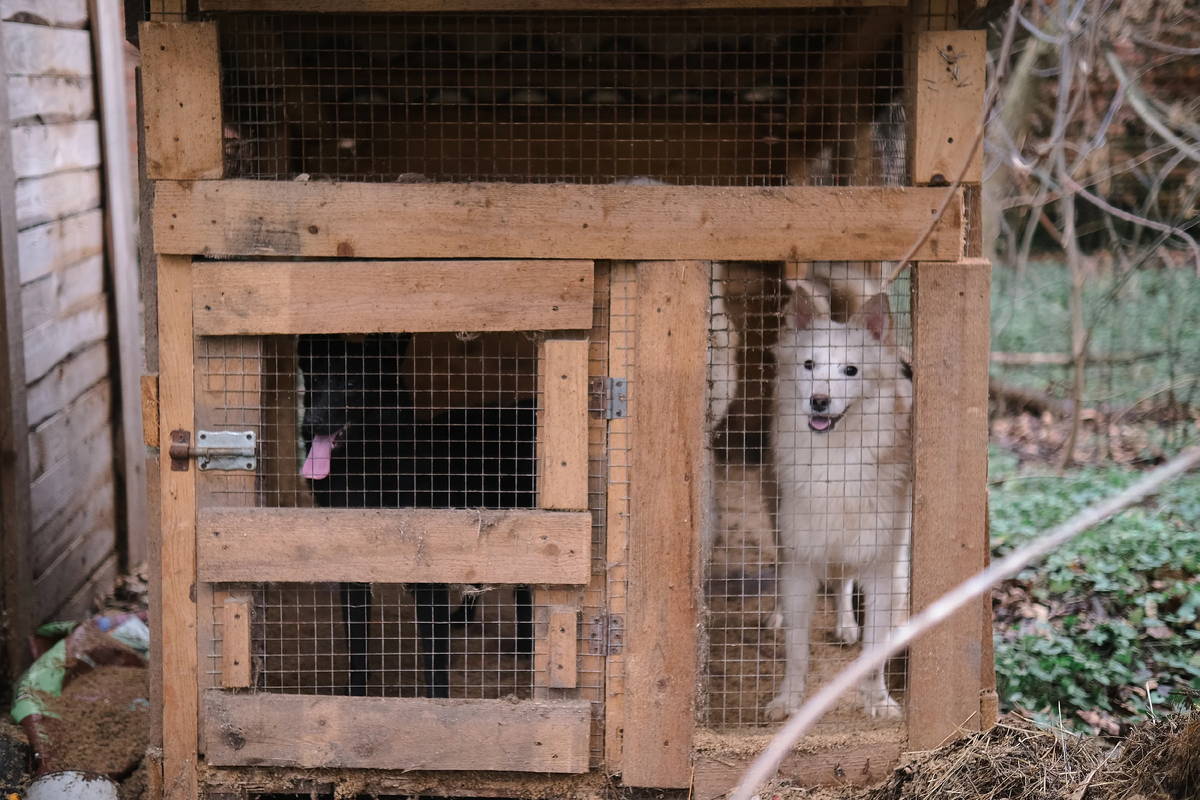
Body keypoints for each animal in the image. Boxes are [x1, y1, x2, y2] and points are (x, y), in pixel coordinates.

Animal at [302, 335, 537, 695]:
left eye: (352, 383)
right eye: (314, 380)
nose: (310, 422)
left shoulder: (429, 582)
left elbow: (434, 662)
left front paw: (435, 702)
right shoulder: (352, 573)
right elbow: (357, 644)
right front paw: (356, 694)